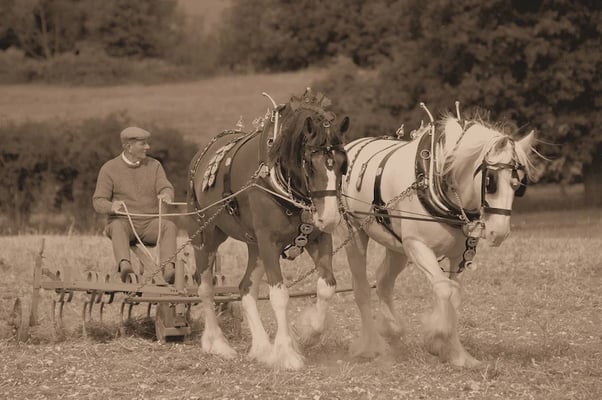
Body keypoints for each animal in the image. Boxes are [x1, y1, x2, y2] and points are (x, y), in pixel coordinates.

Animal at [186, 90, 346, 368]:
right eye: (310, 163)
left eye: (341, 163)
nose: (330, 217)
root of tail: (201, 157)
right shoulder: (269, 242)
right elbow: (279, 296)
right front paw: (287, 353)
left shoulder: (318, 238)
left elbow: (327, 286)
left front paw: (307, 333)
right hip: (206, 236)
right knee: (205, 286)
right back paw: (216, 343)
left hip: (254, 245)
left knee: (245, 288)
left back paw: (261, 347)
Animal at [340, 114, 532, 368]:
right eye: (490, 181)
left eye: (518, 185)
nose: (499, 233)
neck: (435, 179)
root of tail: (352, 145)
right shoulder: (417, 247)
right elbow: (444, 290)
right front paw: (437, 336)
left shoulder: (458, 256)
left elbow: (455, 297)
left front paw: (458, 354)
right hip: (355, 233)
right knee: (361, 288)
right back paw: (370, 345)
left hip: (397, 247)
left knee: (383, 281)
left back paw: (392, 329)